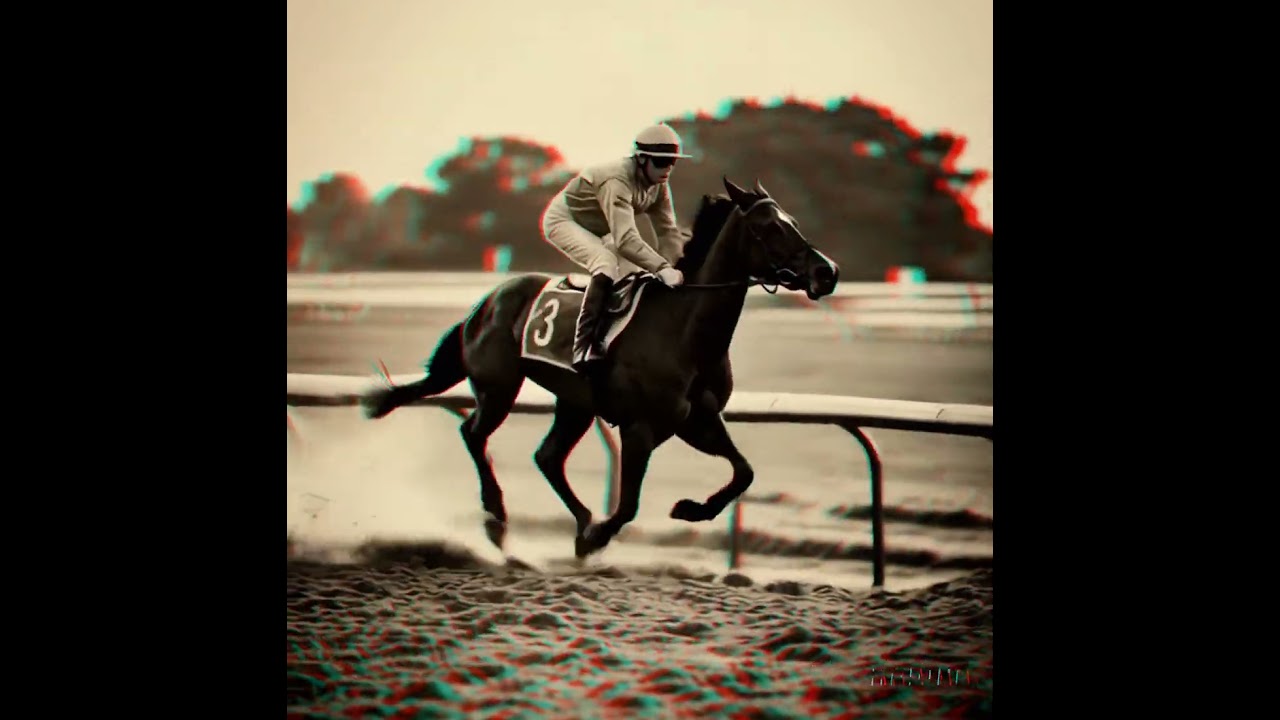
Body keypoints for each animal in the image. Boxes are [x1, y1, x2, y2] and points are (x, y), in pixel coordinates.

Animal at [360, 176, 840, 560]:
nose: (828, 271)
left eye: (794, 221)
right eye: (769, 227)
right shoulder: (639, 427)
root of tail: (486, 302)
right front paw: (598, 537)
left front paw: (689, 509)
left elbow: (744, 472)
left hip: (575, 402)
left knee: (547, 456)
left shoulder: (697, 420)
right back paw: (498, 515)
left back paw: (579, 520)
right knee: (473, 433)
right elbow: (628, 505)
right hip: (499, 387)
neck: (685, 329)